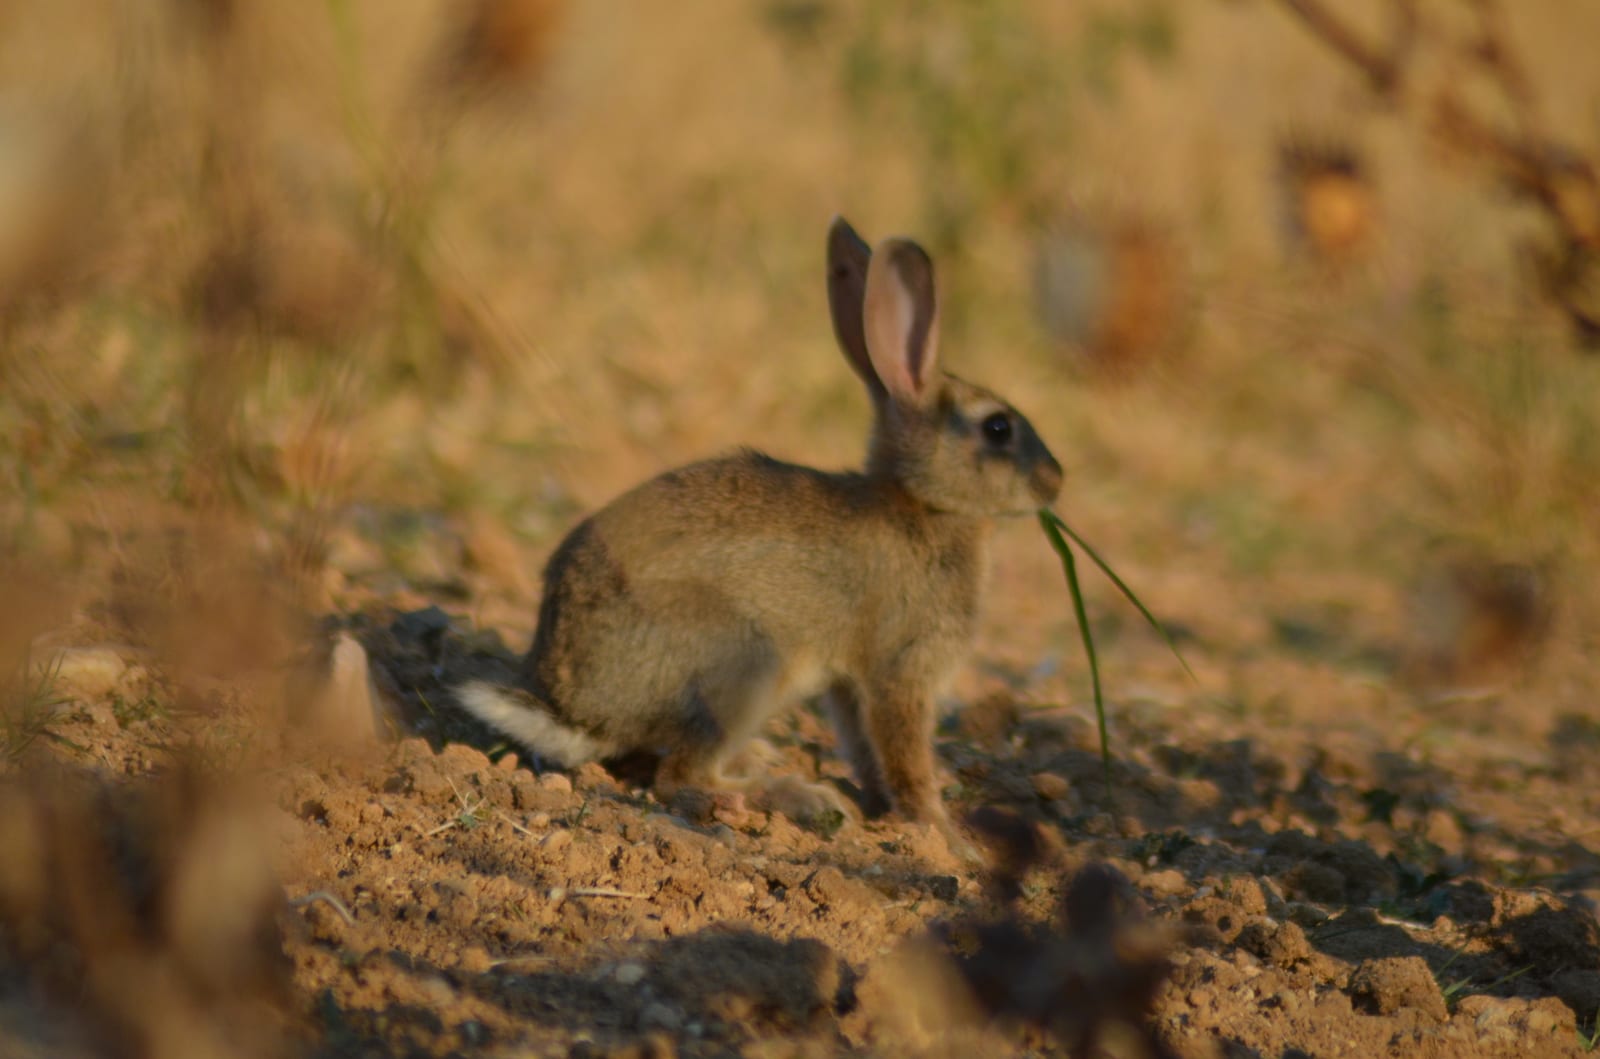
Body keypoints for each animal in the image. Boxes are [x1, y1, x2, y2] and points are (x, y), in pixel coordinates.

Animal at [457, 217, 1063, 857]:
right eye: (997, 428)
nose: (1056, 480)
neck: (922, 504)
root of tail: (575, 709)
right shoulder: (903, 669)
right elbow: (908, 759)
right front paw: (949, 838)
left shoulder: (852, 685)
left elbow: (867, 750)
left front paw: (887, 810)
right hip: (748, 664)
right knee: (681, 777)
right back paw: (793, 795)